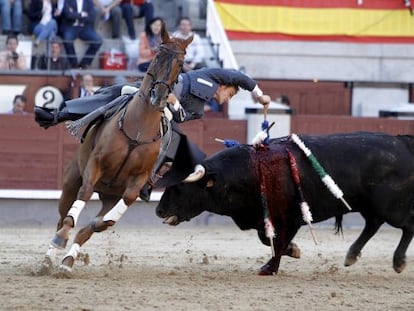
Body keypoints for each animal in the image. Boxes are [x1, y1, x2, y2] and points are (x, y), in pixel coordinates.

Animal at [35, 22, 192, 276]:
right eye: (158, 55)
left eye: (181, 63)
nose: (159, 97)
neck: (138, 128)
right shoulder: (95, 165)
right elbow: (80, 202)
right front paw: (60, 240)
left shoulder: (137, 181)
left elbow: (108, 218)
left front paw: (96, 226)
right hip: (71, 181)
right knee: (63, 216)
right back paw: (49, 258)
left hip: (109, 195)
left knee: (90, 228)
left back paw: (68, 261)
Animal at [157, 132, 414, 276]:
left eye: (179, 188)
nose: (159, 210)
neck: (248, 171)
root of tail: (402, 142)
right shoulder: (264, 218)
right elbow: (268, 239)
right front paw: (294, 250)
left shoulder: (291, 219)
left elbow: (278, 243)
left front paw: (269, 268)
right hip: (369, 205)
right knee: (373, 224)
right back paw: (352, 255)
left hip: (391, 207)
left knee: (406, 225)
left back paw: (398, 262)